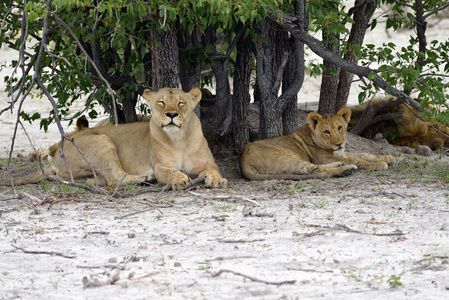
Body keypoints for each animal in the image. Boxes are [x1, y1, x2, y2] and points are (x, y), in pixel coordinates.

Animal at [2, 87, 228, 190]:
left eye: (181, 103)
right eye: (161, 102)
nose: (171, 115)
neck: (179, 139)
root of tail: (56, 155)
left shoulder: (207, 162)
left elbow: (214, 168)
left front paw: (218, 180)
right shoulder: (160, 166)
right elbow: (170, 172)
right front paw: (180, 179)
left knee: (101, 180)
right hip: (102, 140)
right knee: (116, 177)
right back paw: (145, 178)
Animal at [240, 106, 394, 179]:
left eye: (340, 128)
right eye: (327, 132)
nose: (339, 144)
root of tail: (243, 163)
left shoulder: (339, 153)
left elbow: (364, 154)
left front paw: (387, 158)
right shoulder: (324, 157)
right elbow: (357, 159)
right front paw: (380, 164)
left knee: (316, 168)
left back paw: (341, 165)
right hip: (286, 159)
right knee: (316, 170)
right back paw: (346, 169)